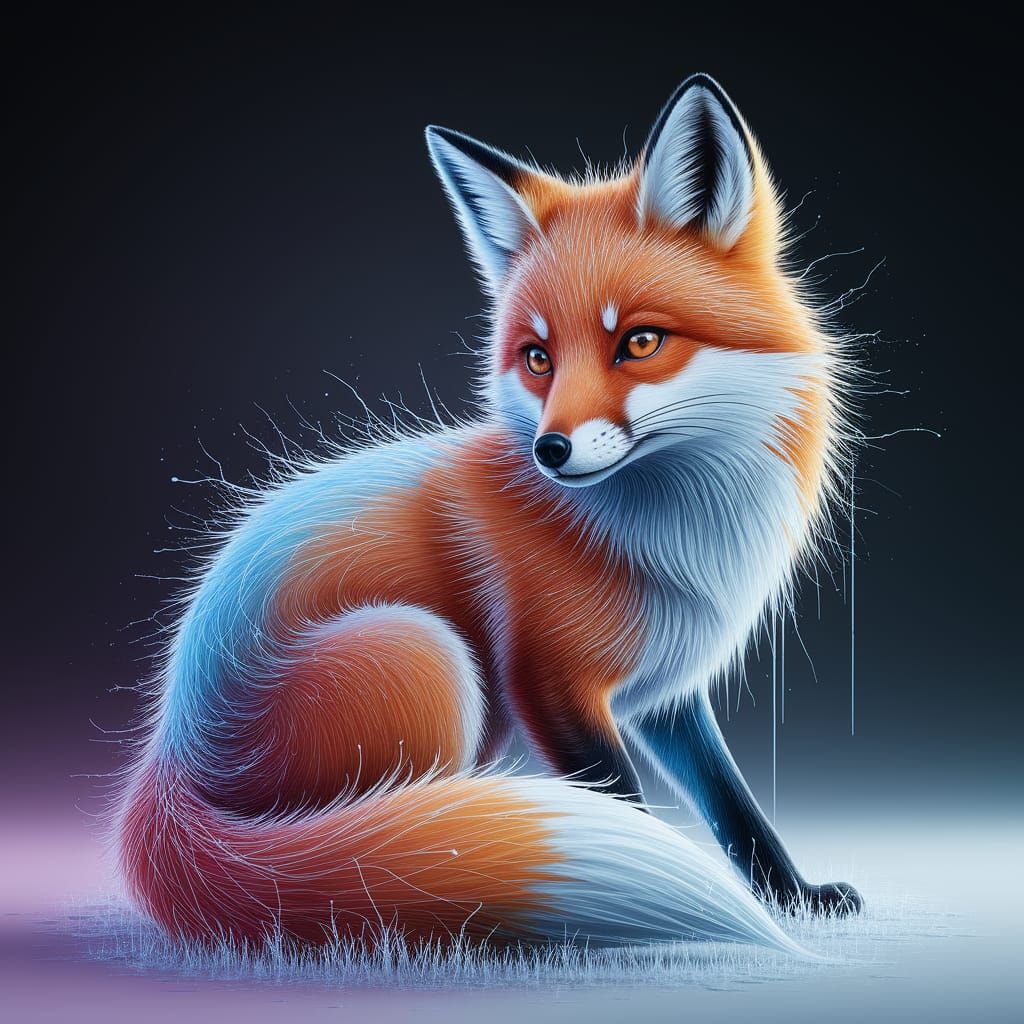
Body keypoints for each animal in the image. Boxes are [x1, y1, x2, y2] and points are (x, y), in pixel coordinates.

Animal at [117, 73, 862, 954]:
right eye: (538, 358)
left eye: (640, 343)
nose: (550, 451)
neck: (673, 536)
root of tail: (166, 754)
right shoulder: (547, 681)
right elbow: (625, 805)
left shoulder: (670, 693)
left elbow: (736, 810)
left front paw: (795, 897)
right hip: (426, 654)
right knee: (380, 840)